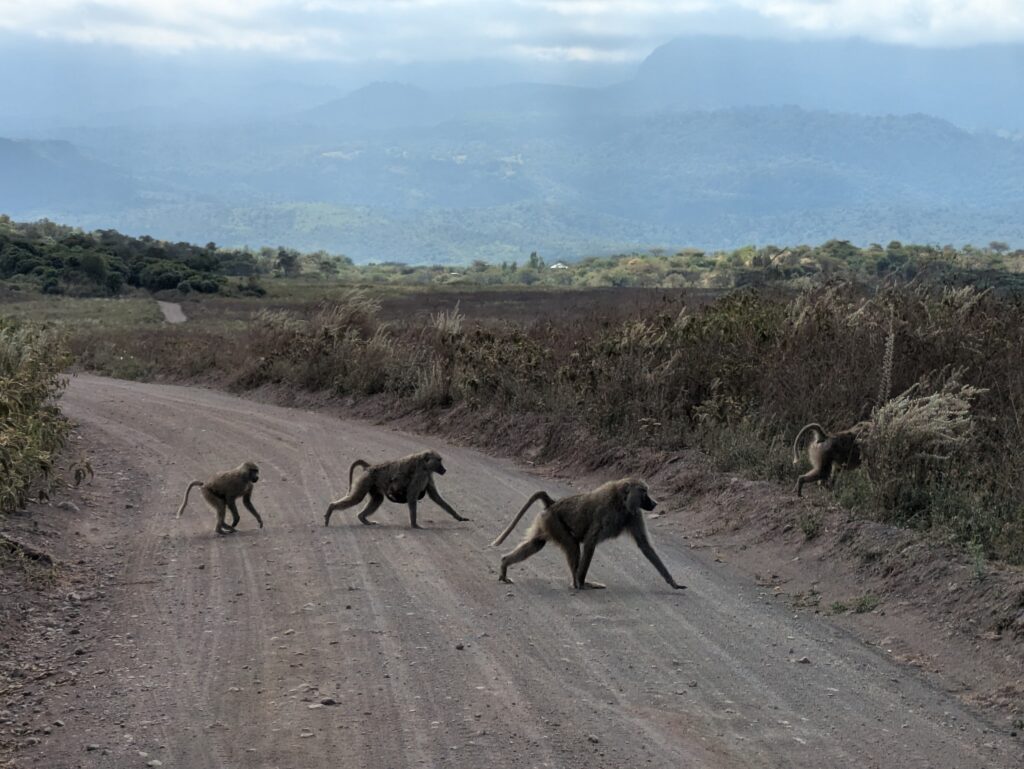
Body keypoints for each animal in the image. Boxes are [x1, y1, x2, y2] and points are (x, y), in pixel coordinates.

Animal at [324, 450, 469, 529]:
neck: (423, 462)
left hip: (372, 484)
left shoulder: (428, 475)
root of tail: (370, 467)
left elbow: (436, 497)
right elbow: (412, 496)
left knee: (378, 499)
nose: (444, 470)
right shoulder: (421, 474)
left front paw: (459, 517)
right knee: (357, 498)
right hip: (366, 480)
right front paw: (415, 525)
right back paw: (331, 508)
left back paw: (364, 519)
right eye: (439, 461)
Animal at [491, 478, 686, 591]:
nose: (654, 503)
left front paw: (673, 582)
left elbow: (645, 545)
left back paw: (504, 565)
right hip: (554, 522)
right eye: (644, 492)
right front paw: (582, 582)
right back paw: (577, 584)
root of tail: (553, 503)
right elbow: (590, 542)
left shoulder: (634, 514)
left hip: (546, 522)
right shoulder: (606, 514)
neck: (621, 501)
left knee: (536, 544)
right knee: (572, 547)